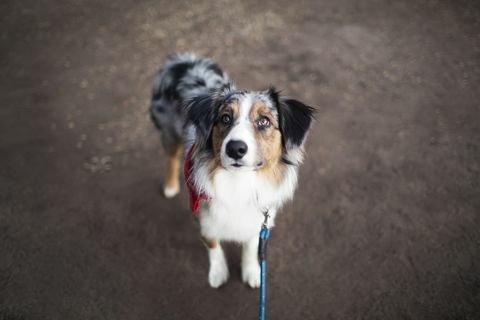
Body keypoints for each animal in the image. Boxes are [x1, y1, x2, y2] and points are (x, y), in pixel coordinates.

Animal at [151, 52, 316, 288]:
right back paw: (171, 186)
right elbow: (213, 245)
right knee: (172, 156)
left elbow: (250, 247)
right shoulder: (205, 218)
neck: (239, 182)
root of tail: (181, 59)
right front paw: (218, 274)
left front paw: (252, 272)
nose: (235, 148)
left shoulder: (259, 220)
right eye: (225, 118)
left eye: (264, 121)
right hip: (168, 130)